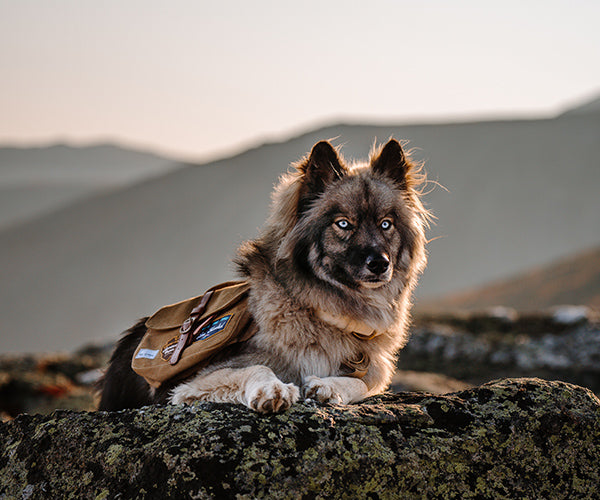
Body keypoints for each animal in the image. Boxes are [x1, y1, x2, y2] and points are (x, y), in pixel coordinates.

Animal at [98, 139, 428, 412]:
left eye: (386, 224)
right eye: (344, 224)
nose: (380, 264)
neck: (324, 312)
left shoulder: (374, 372)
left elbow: (362, 382)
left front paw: (328, 386)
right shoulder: (193, 382)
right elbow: (256, 368)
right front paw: (273, 389)